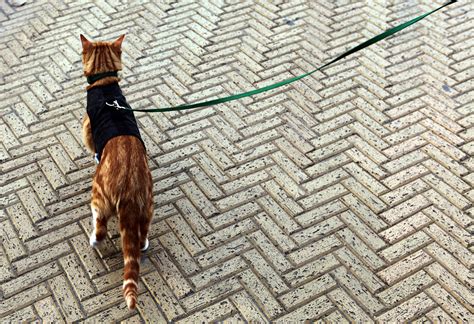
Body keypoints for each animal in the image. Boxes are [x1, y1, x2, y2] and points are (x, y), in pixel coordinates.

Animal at [80, 34, 153, 310]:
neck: (105, 86)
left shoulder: (88, 128)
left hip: (98, 197)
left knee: (100, 227)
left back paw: (94, 240)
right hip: (147, 207)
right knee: (141, 236)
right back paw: (143, 244)